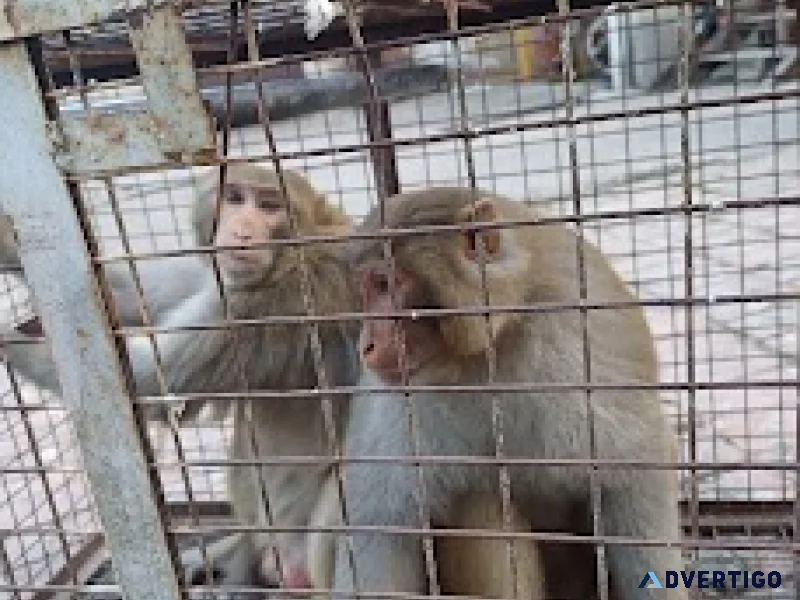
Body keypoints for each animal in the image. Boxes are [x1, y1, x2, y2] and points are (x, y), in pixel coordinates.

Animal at [326, 187, 685, 600]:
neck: (486, 353)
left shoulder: (573, 345)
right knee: (480, 498)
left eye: (384, 284)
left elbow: (633, 474)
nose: (366, 345)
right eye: (366, 289)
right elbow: (380, 523)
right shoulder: (403, 398)